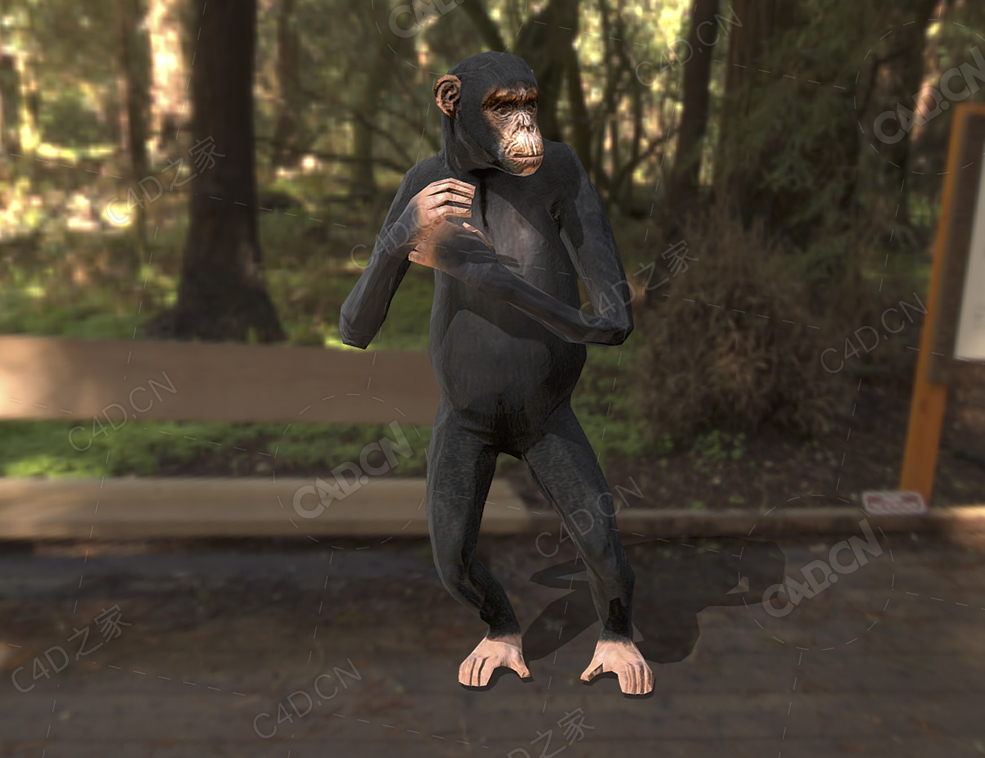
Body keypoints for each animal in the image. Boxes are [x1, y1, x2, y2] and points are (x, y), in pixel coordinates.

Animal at [340, 52, 652, 696]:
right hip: (462, 437)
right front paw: (421, 226)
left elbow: (612, 311)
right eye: (502, 106)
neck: (482, 169)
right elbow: (354, 324)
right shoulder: (412, 179)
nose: (528, 123)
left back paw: (619, 647)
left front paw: (460, 255)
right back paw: (501, 638)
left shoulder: (571, 170)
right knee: (454, 556)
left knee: (601, 545)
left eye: (529, 102)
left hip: (552, 432)